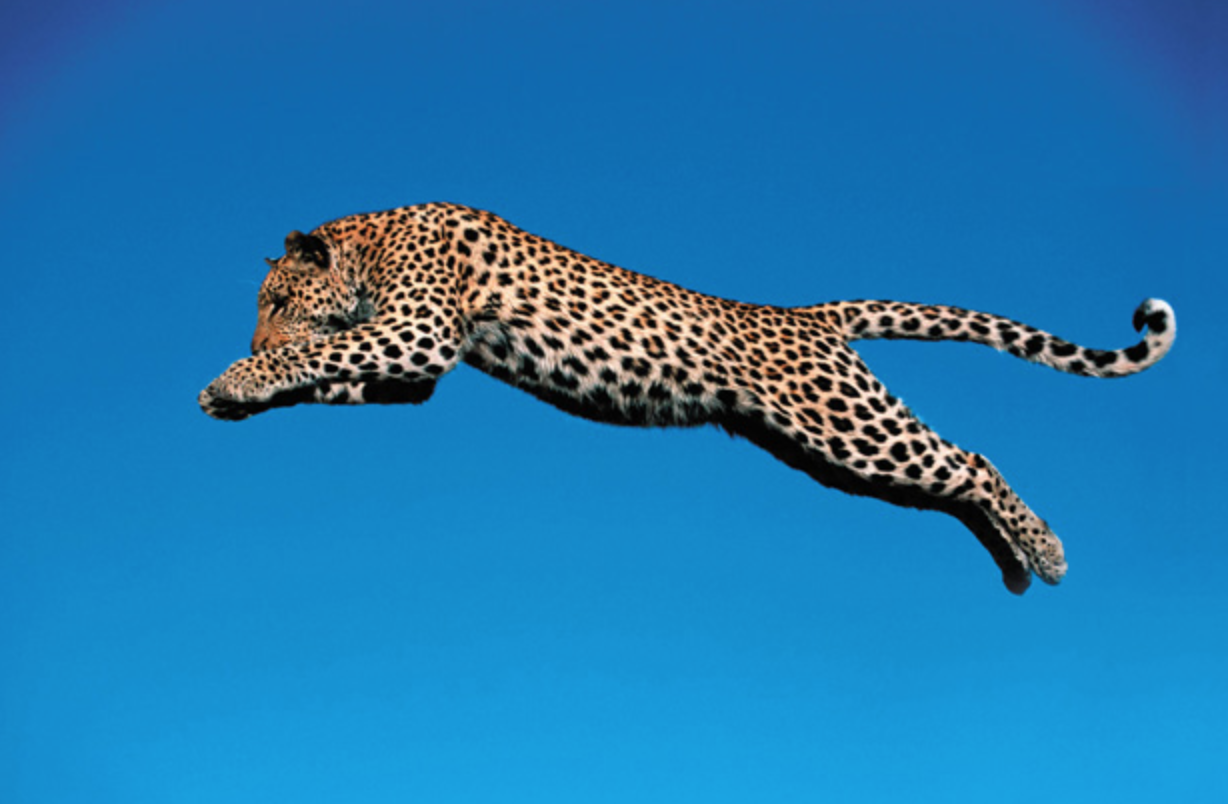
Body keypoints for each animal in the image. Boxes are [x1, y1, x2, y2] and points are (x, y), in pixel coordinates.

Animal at [199, 202, 1176, 594]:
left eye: (276, 302)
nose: (252, 342)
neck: (372, 242)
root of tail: (802, 316)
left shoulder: (419, 329)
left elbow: (328, 350)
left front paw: (231, 380)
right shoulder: (410, 367)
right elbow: (335, 371)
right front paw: (240, 394)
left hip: (848, 425)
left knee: (970, 460)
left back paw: (1043, 552)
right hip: (825, 454)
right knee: (950, 484)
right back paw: (1012, 563)